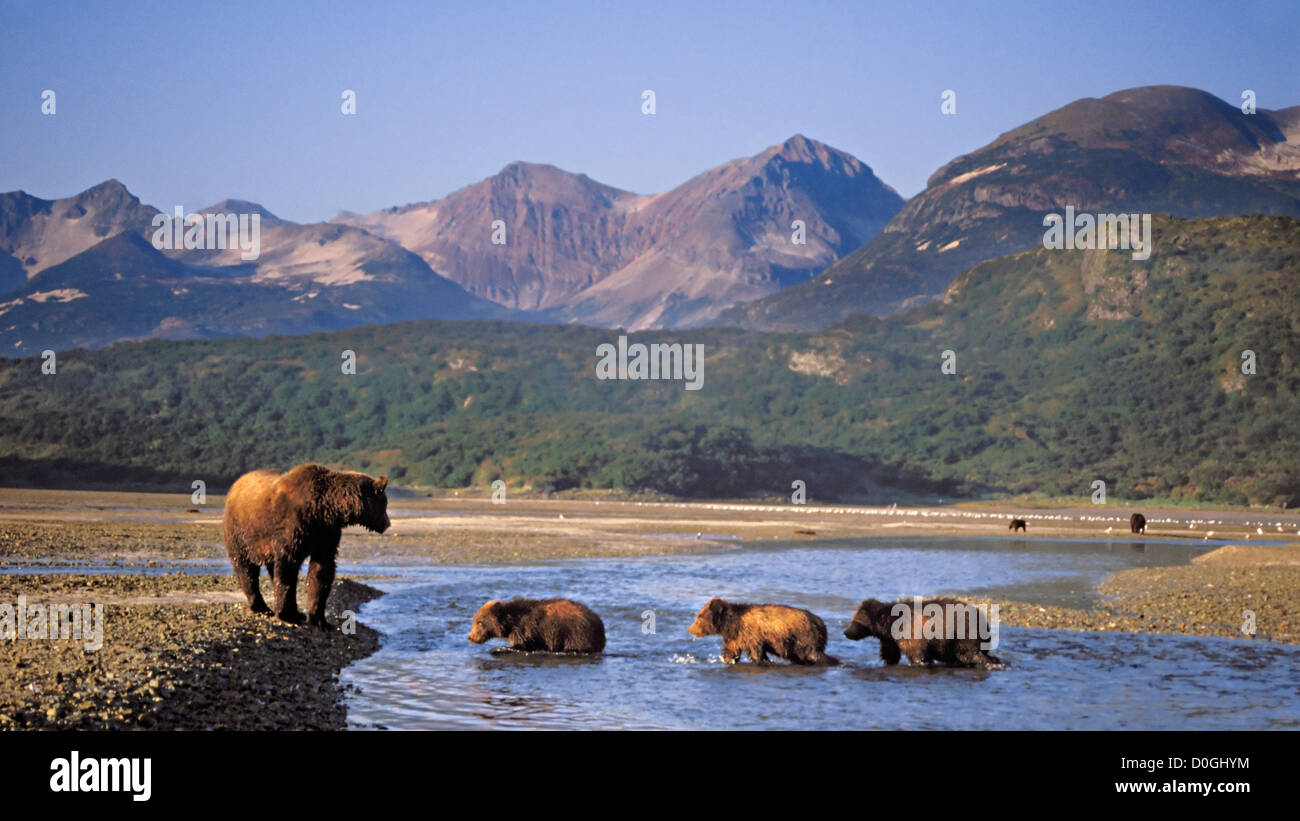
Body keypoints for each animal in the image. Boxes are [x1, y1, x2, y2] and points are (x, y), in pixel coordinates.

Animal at [222, 463, 389, 629]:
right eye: (385, 503)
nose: (387, 523)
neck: (324, 509)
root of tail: (235, 484)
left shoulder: (325, 533)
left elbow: (321, 571)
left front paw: (319, 619)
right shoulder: (293, 526)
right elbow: (287, 568)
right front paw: (287, 615)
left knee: (270, 568)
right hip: (242, 532)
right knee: (245, 567)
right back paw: (260, 607)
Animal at [467, 598, 606, 653]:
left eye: (479, 622)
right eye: (474, 621)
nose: (470, 637)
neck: (511, 623)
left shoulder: (525, 629)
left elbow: (521, 645)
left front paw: (498, 649)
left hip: (575, 632)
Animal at [687, 597, 838, 665]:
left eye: (699, 617)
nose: (690, 629)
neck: (732, 625)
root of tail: (822, 624)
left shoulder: (752, 635)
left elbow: (756, 653)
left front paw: (760, 661)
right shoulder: (735, 638)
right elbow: (731, 652)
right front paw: (728, 660)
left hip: (804, 637)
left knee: (814, 654)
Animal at [844, 597, 1002, 668]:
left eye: (854, 621)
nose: (846, 632)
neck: (889, 624)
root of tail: (984, 620)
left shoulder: (910, 632)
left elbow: (917, 655)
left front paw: (920, 662)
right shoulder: (889, 639)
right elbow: (891, 655)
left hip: (963, 632)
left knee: (969, 653)